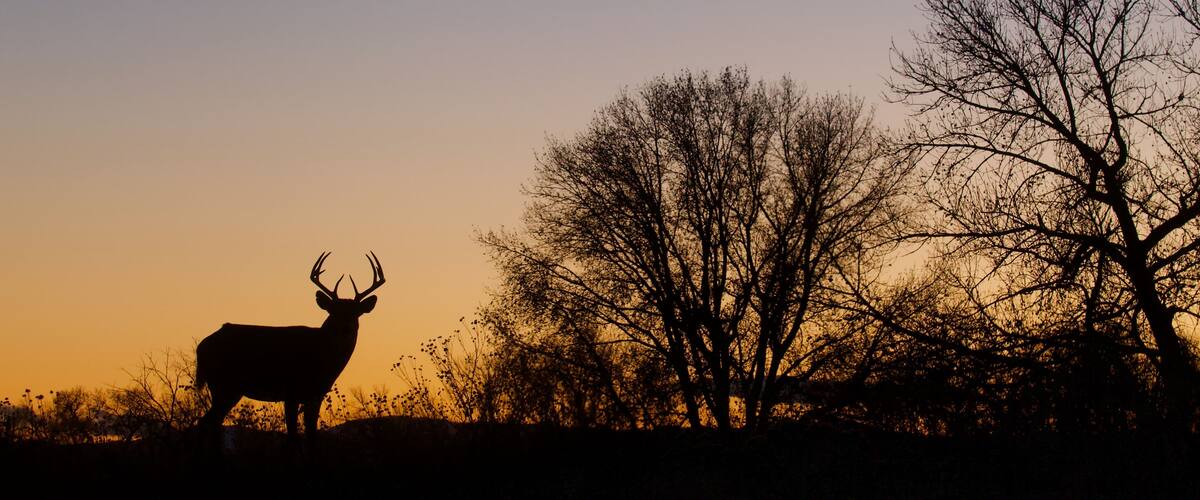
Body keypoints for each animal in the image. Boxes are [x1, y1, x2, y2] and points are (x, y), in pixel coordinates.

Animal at [194, 251, 385, 451]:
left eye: (356, 313)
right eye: (334, 312)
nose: (346, 328)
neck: (321, 358)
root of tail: (201, 346)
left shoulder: (315, 395)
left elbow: (311, 436)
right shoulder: (291, 391)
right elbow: (292, 437)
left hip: (229, 388)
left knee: (212, 422)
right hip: (223, 384)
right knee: (206, 421)